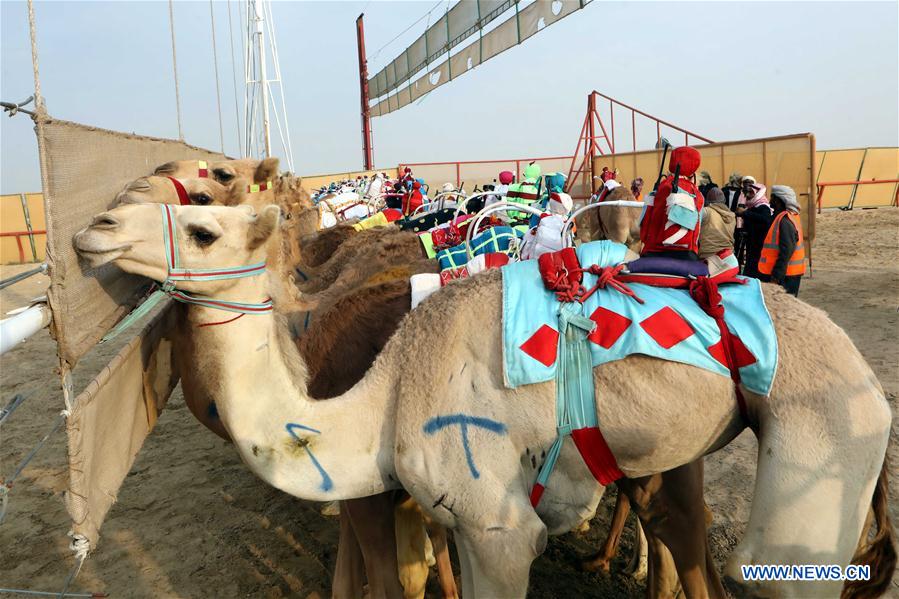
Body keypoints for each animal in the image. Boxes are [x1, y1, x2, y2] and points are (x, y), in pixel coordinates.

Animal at [75, 203, 892, 599]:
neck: (379, 400)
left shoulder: (495, 528)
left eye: (201, 225)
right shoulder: (450, 522)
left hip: (821, 439)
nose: (96, 228)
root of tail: (869, 377)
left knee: (774, 568)